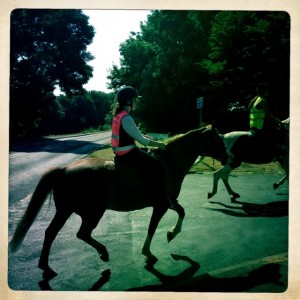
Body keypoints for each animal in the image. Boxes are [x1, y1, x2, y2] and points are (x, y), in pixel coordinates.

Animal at [9, 124, 227, 278]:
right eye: (218, 140)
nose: (229, 157)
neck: (169, 163)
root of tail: (65, 169)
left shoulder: (167, 203)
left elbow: (181, 212)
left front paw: (170, 235)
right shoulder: (162, 205)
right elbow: (155, 227)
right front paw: (152, 250)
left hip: (66, 211)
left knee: (51, 233)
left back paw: (46, 266)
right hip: (91, 212)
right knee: (81, 233)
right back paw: (102, 253)